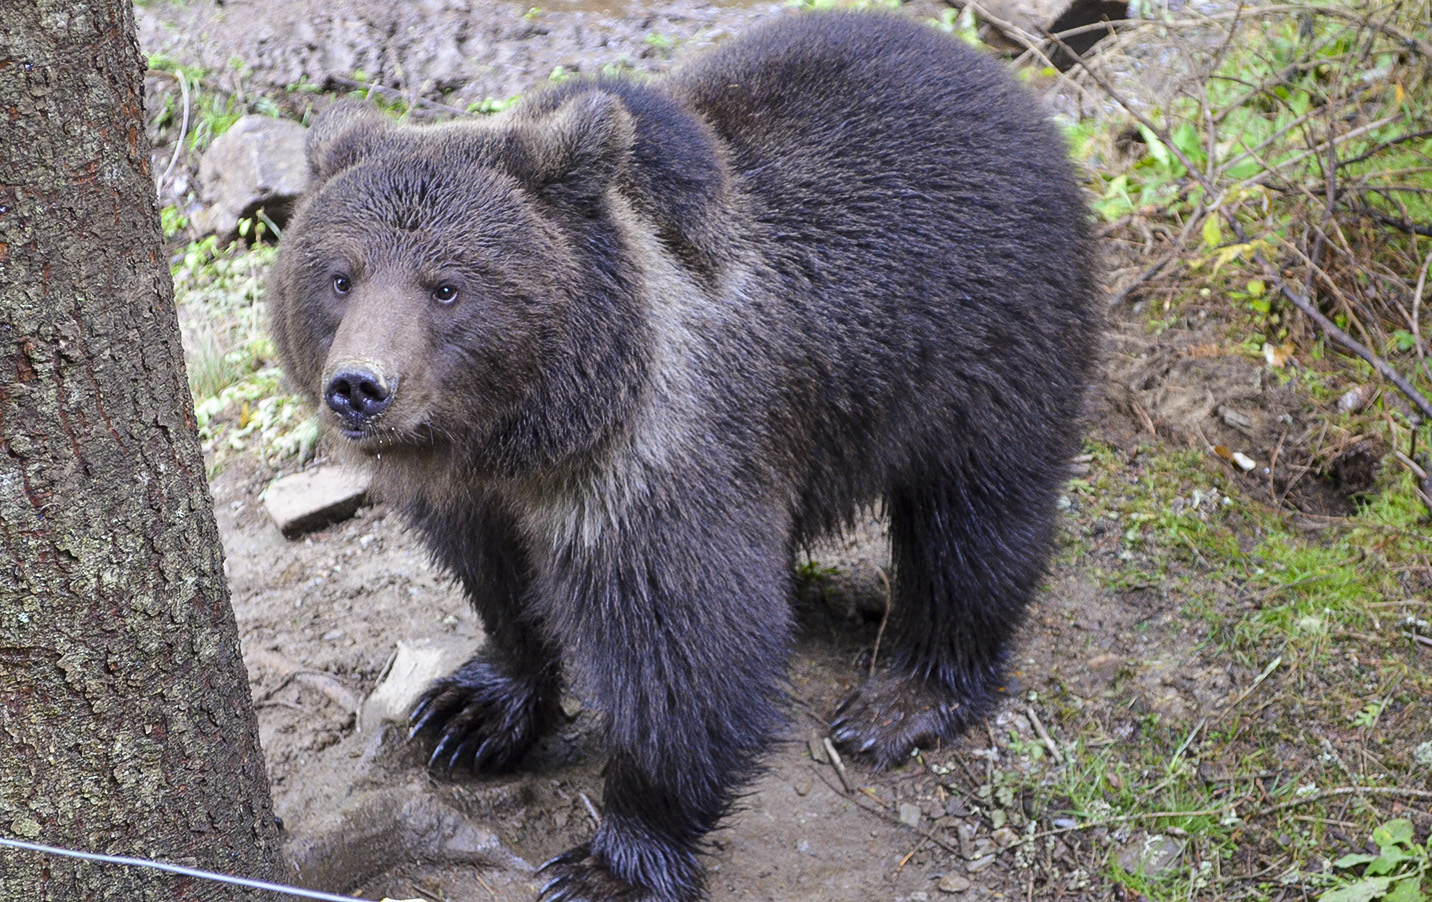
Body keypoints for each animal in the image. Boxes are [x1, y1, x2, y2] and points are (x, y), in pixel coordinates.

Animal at [266, 8, 1094, 902]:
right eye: (339, 276)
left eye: (447, 284)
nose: (359, 387)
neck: (525, 434)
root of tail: (1004, 85)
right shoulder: (475, 498)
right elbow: (501, 585)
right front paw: (470, 712)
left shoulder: (650, 467)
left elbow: (685, 654)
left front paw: (612, 860)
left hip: (987, 341)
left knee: (974, 523)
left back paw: (903, 699)